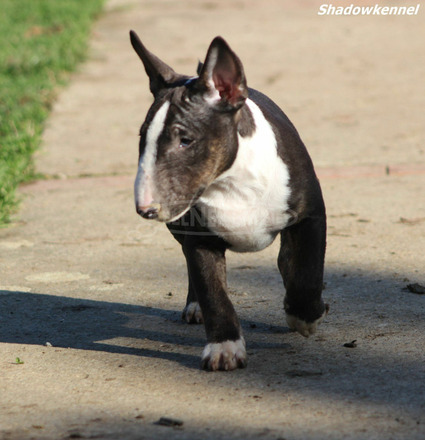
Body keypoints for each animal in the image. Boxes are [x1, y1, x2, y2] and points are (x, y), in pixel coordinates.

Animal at [130, 31, 328, 372]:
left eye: (186, 140)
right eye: (142, 140)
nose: (146, 208)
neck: (232, 182)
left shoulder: (311, 215)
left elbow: (308, 270)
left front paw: (303, 315)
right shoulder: (199, 239)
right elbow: (213, 291)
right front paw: (224, 348)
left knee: (290, 261)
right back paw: (194, 306)